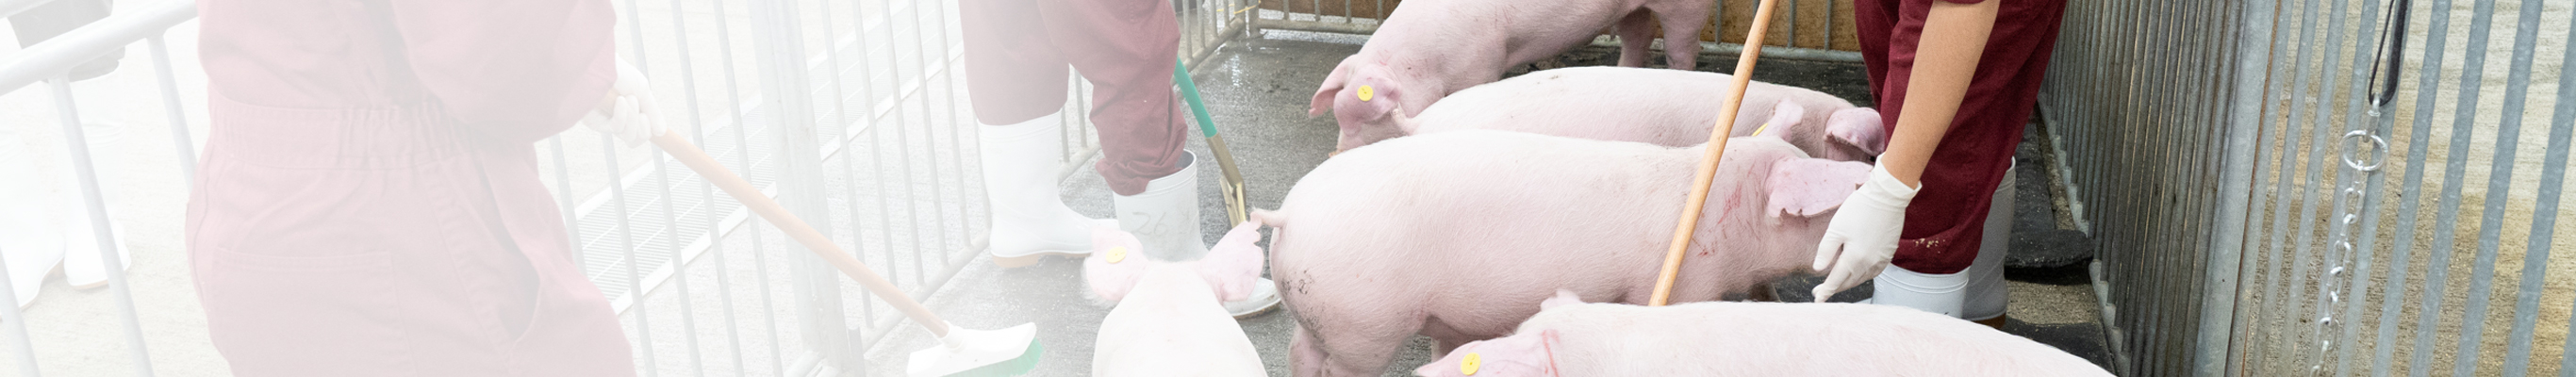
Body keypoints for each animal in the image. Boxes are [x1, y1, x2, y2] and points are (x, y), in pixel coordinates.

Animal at [1251, 130, 1874, 377]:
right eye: (1827, 209)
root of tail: (1289, 213)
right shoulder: (1681, 280)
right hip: (1366, 324)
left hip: (1324, 313)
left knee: (1299, 352)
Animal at [1318, 0, 1720, 153]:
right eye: (1337, 115)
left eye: (1364, 118)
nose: (1337, 152)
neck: (1426, 62)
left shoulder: (1481, 63)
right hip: (1627, 9)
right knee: (1639, 33)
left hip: (1686, 7)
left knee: (1683, 45)